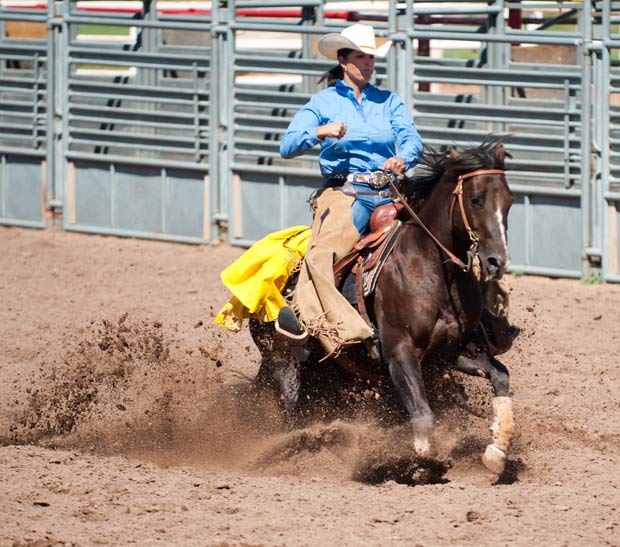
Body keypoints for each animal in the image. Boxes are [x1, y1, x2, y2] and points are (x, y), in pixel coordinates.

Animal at [249, 137, 516, 476]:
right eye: (476, 200)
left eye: (509, 201)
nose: (497, 261)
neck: (431, 271)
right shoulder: (399, 352)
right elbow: (423, 413)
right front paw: (422, 461)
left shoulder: (454, 351)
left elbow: (501, 377)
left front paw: (497, 450)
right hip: (285, 363)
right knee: (289, 413)